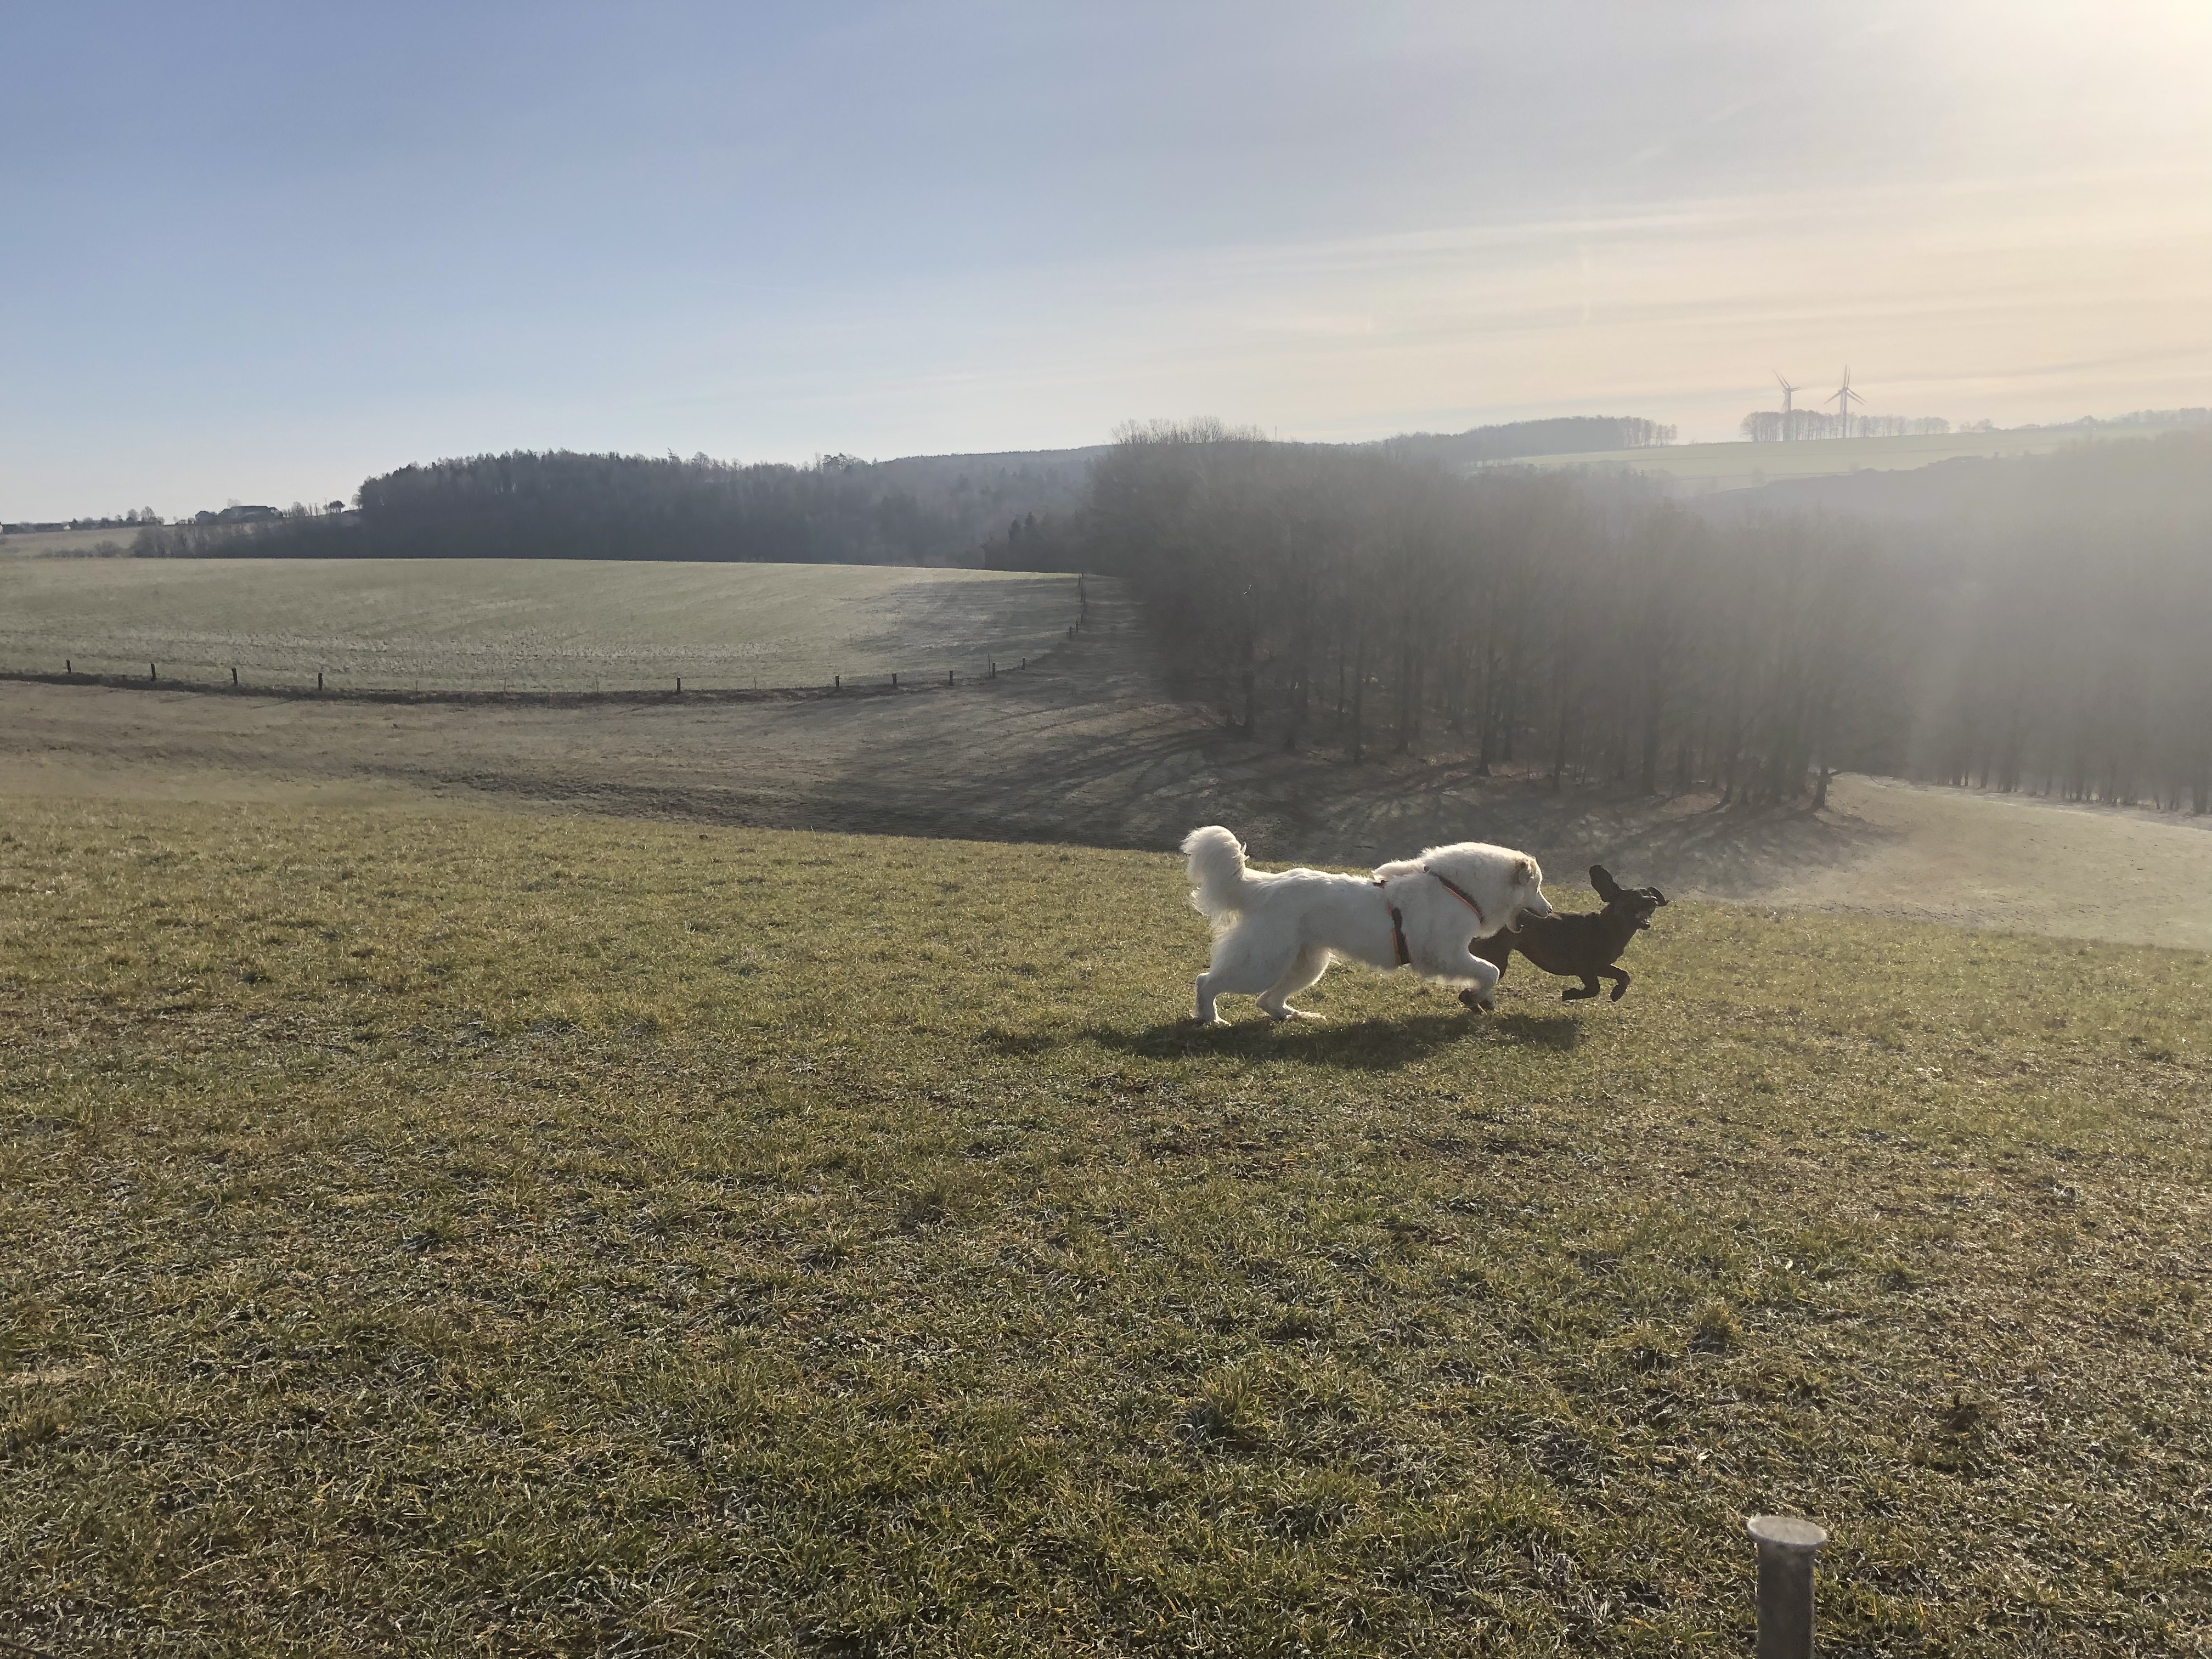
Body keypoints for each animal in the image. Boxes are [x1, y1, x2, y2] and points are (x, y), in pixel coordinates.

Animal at [1181, 826, 1552, 1024]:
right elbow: (1491, 971)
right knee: (1206, 982)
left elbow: (1489, 972)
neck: (1458, 889)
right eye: (1536, 887)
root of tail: (1263, 886)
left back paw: (1296, 1016)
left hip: (1306, 965)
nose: (1549, 910)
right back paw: (1211, 1019)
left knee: (1267, 1001)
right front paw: (1476, 996)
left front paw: (1481, 999)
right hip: (1262, 963)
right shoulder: (1445, 956)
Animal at [1468, 865, 1666, 1005]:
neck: (1608, 928)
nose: (1653, 900)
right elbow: (1595, 989)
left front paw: (1617, 993)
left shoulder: (1601, 967)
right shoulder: (1585, 968)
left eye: (1650, 894)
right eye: (1635, 897)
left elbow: (1624, 975)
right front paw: (1570, 994)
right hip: (1497, 957)